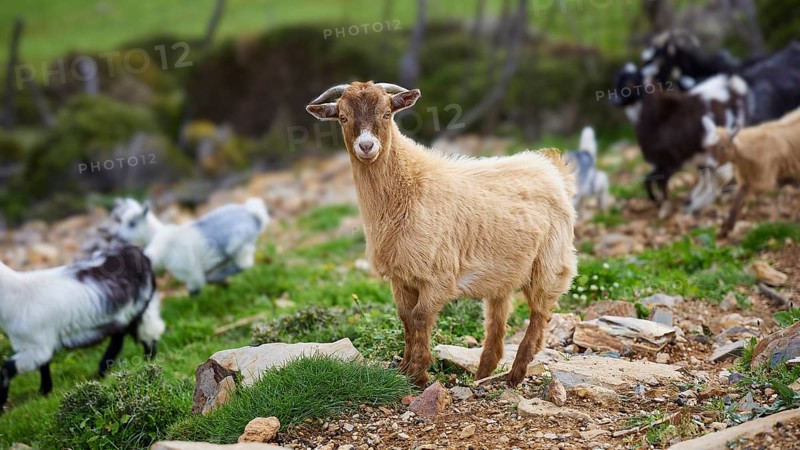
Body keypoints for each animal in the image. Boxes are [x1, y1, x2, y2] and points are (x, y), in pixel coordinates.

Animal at [0, 245, 164, 410]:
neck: (15, 294)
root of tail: (137, 252)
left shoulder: (35, 345)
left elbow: (8, 368)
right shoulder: (36, 343)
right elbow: (44, 365)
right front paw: (44, 392)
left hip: (143, 306)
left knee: (148, 334)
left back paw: (147, 363)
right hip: (123, 314)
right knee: (120, 336)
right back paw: (103, 370)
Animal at [111, 197, 270, 295]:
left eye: (132, 223)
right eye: (121, 220)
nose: (120, 237)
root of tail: (254, 215)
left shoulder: (191, 272)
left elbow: (194, 290)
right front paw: (222, 283)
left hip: (240, 246)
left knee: (244, 265)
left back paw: (218, 276)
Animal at [306, 81, 577, 386]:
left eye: (387, 113)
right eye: (342, 117)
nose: (366, 146)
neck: (410, 187)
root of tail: (553, 169)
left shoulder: (439, 276)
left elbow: (420, 317)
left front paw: (418, 373)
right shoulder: (401, 277)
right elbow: (405, 317)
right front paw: (404, 370)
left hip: (550, 262)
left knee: (540, 314)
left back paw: (515, 375)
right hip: (504, 273)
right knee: (497, 320)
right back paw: (483, 374)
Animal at [701, 107, 800, 236]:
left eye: (722, 147)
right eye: (707, 148)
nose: (710, 165)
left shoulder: (764, 180)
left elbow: (744, 195)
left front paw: (727, 228)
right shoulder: (744, 178)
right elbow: (738, 199)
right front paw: (726, 229)